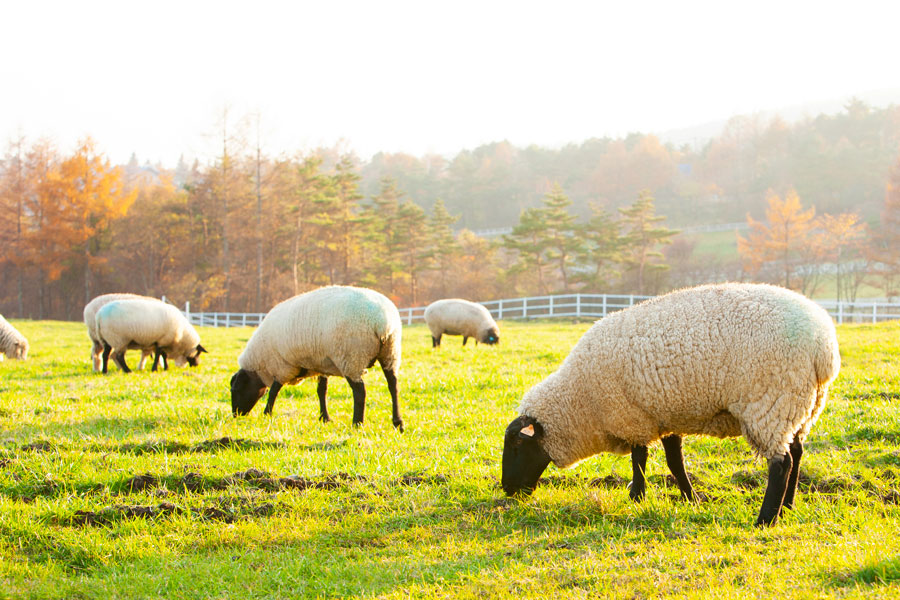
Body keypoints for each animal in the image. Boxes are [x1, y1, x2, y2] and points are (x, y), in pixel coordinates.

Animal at [229, 286, 404, 432]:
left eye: (235, 389)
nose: (236, 415)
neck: (261, 365)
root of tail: (383, 323)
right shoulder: (321, 364)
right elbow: (321, 391)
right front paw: (324, 418)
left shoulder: (283, 366)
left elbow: (274, 391)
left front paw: (266, 413)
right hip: (391, 353)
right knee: (393, 386)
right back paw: (398, 423)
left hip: (351, 357)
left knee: (360, 392)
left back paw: (357, 423)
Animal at [502, 282, 840, 524]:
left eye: (517, 446)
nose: (507, 490)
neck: (580, 401)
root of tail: (824, 347)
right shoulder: (665, 414)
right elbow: (674, 461)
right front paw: (691, 497)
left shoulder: (633, 416)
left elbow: (639, 459)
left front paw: (636, 496)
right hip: (802, 405)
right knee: (797, 452)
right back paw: (789, 506)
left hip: (769, 402)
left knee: (781, 462)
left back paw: (766, 519)